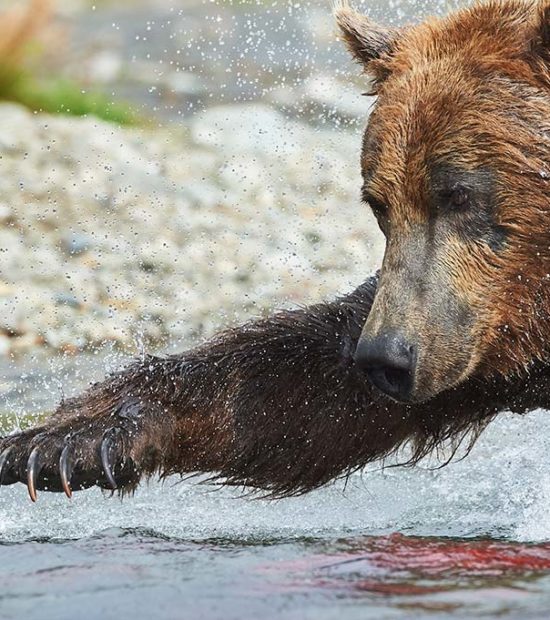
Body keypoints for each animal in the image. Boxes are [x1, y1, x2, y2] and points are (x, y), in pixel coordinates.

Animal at [1, 0, 550, 502]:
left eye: (459, 194)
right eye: (379, 204)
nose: (386, 356)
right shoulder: (475, 335)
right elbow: (294, 391)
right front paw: (61, 441)